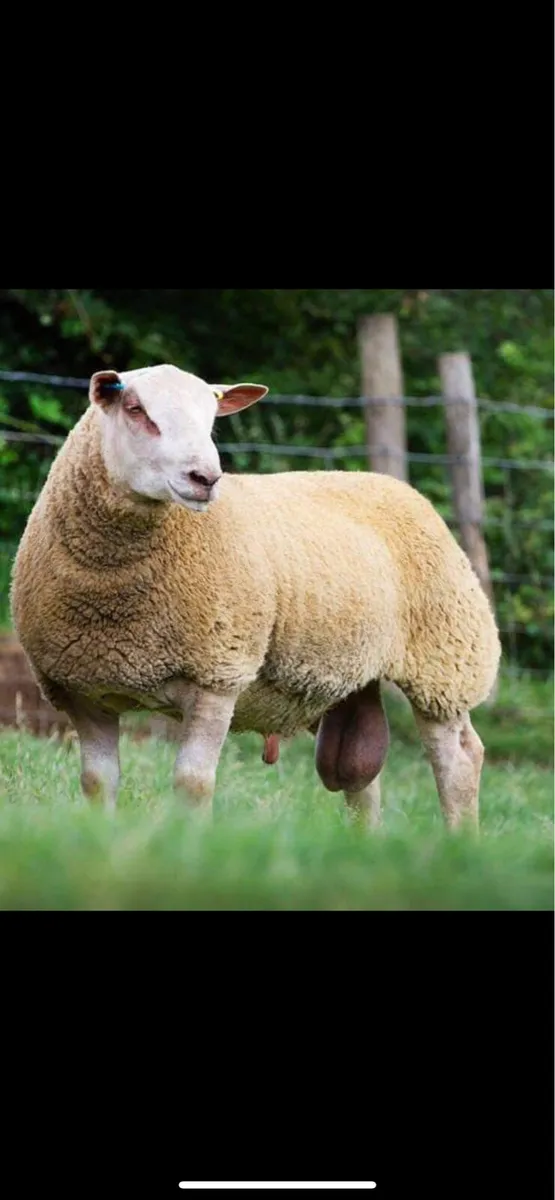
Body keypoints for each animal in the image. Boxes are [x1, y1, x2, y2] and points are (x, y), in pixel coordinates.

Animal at [10, 364, 501, 829]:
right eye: (136, 410)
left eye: (212, 417)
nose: (206, 478)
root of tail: (393, 484)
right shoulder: (82, 690)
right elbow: (97, 782)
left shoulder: (216, 677)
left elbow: (192, 783)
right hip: (354, 676)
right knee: (360, 769)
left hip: (446, 662)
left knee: (458, 759)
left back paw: (461, 840)